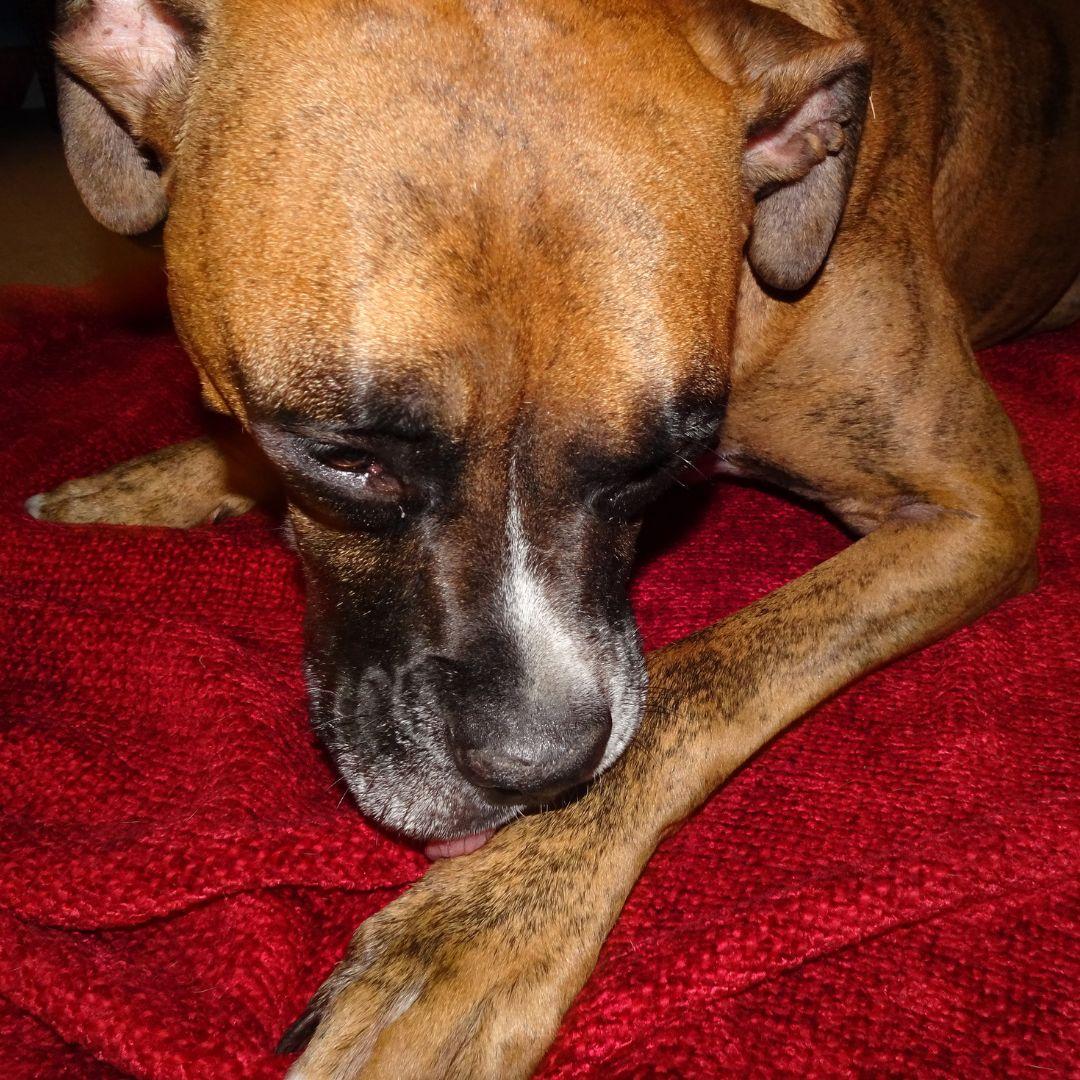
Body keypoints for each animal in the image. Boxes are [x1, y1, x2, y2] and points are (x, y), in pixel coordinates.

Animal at [33, 0, 1080, 1075]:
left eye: (662, 464)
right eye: (344, 455)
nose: (537, 767)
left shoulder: (973, 508)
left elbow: (702, 682)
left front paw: (479, 932)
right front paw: (148, 483)